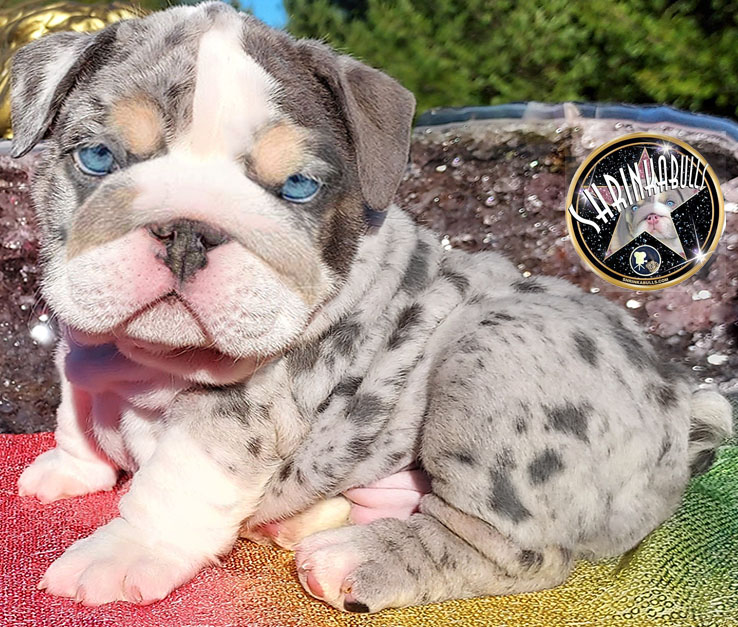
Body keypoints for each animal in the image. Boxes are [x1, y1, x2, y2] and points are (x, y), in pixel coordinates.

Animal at [11, 2, 732, 616]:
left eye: (298, 187)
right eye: (98, 156)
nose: (187, 230)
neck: (143, 356)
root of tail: (680, 410)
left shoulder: (239, 412)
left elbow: (174, 483)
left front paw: (122, 552)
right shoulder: (78, 351)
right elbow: (73, 411)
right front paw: (67, 468)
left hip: (494, 355)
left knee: (509, 546)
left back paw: (354, 558)